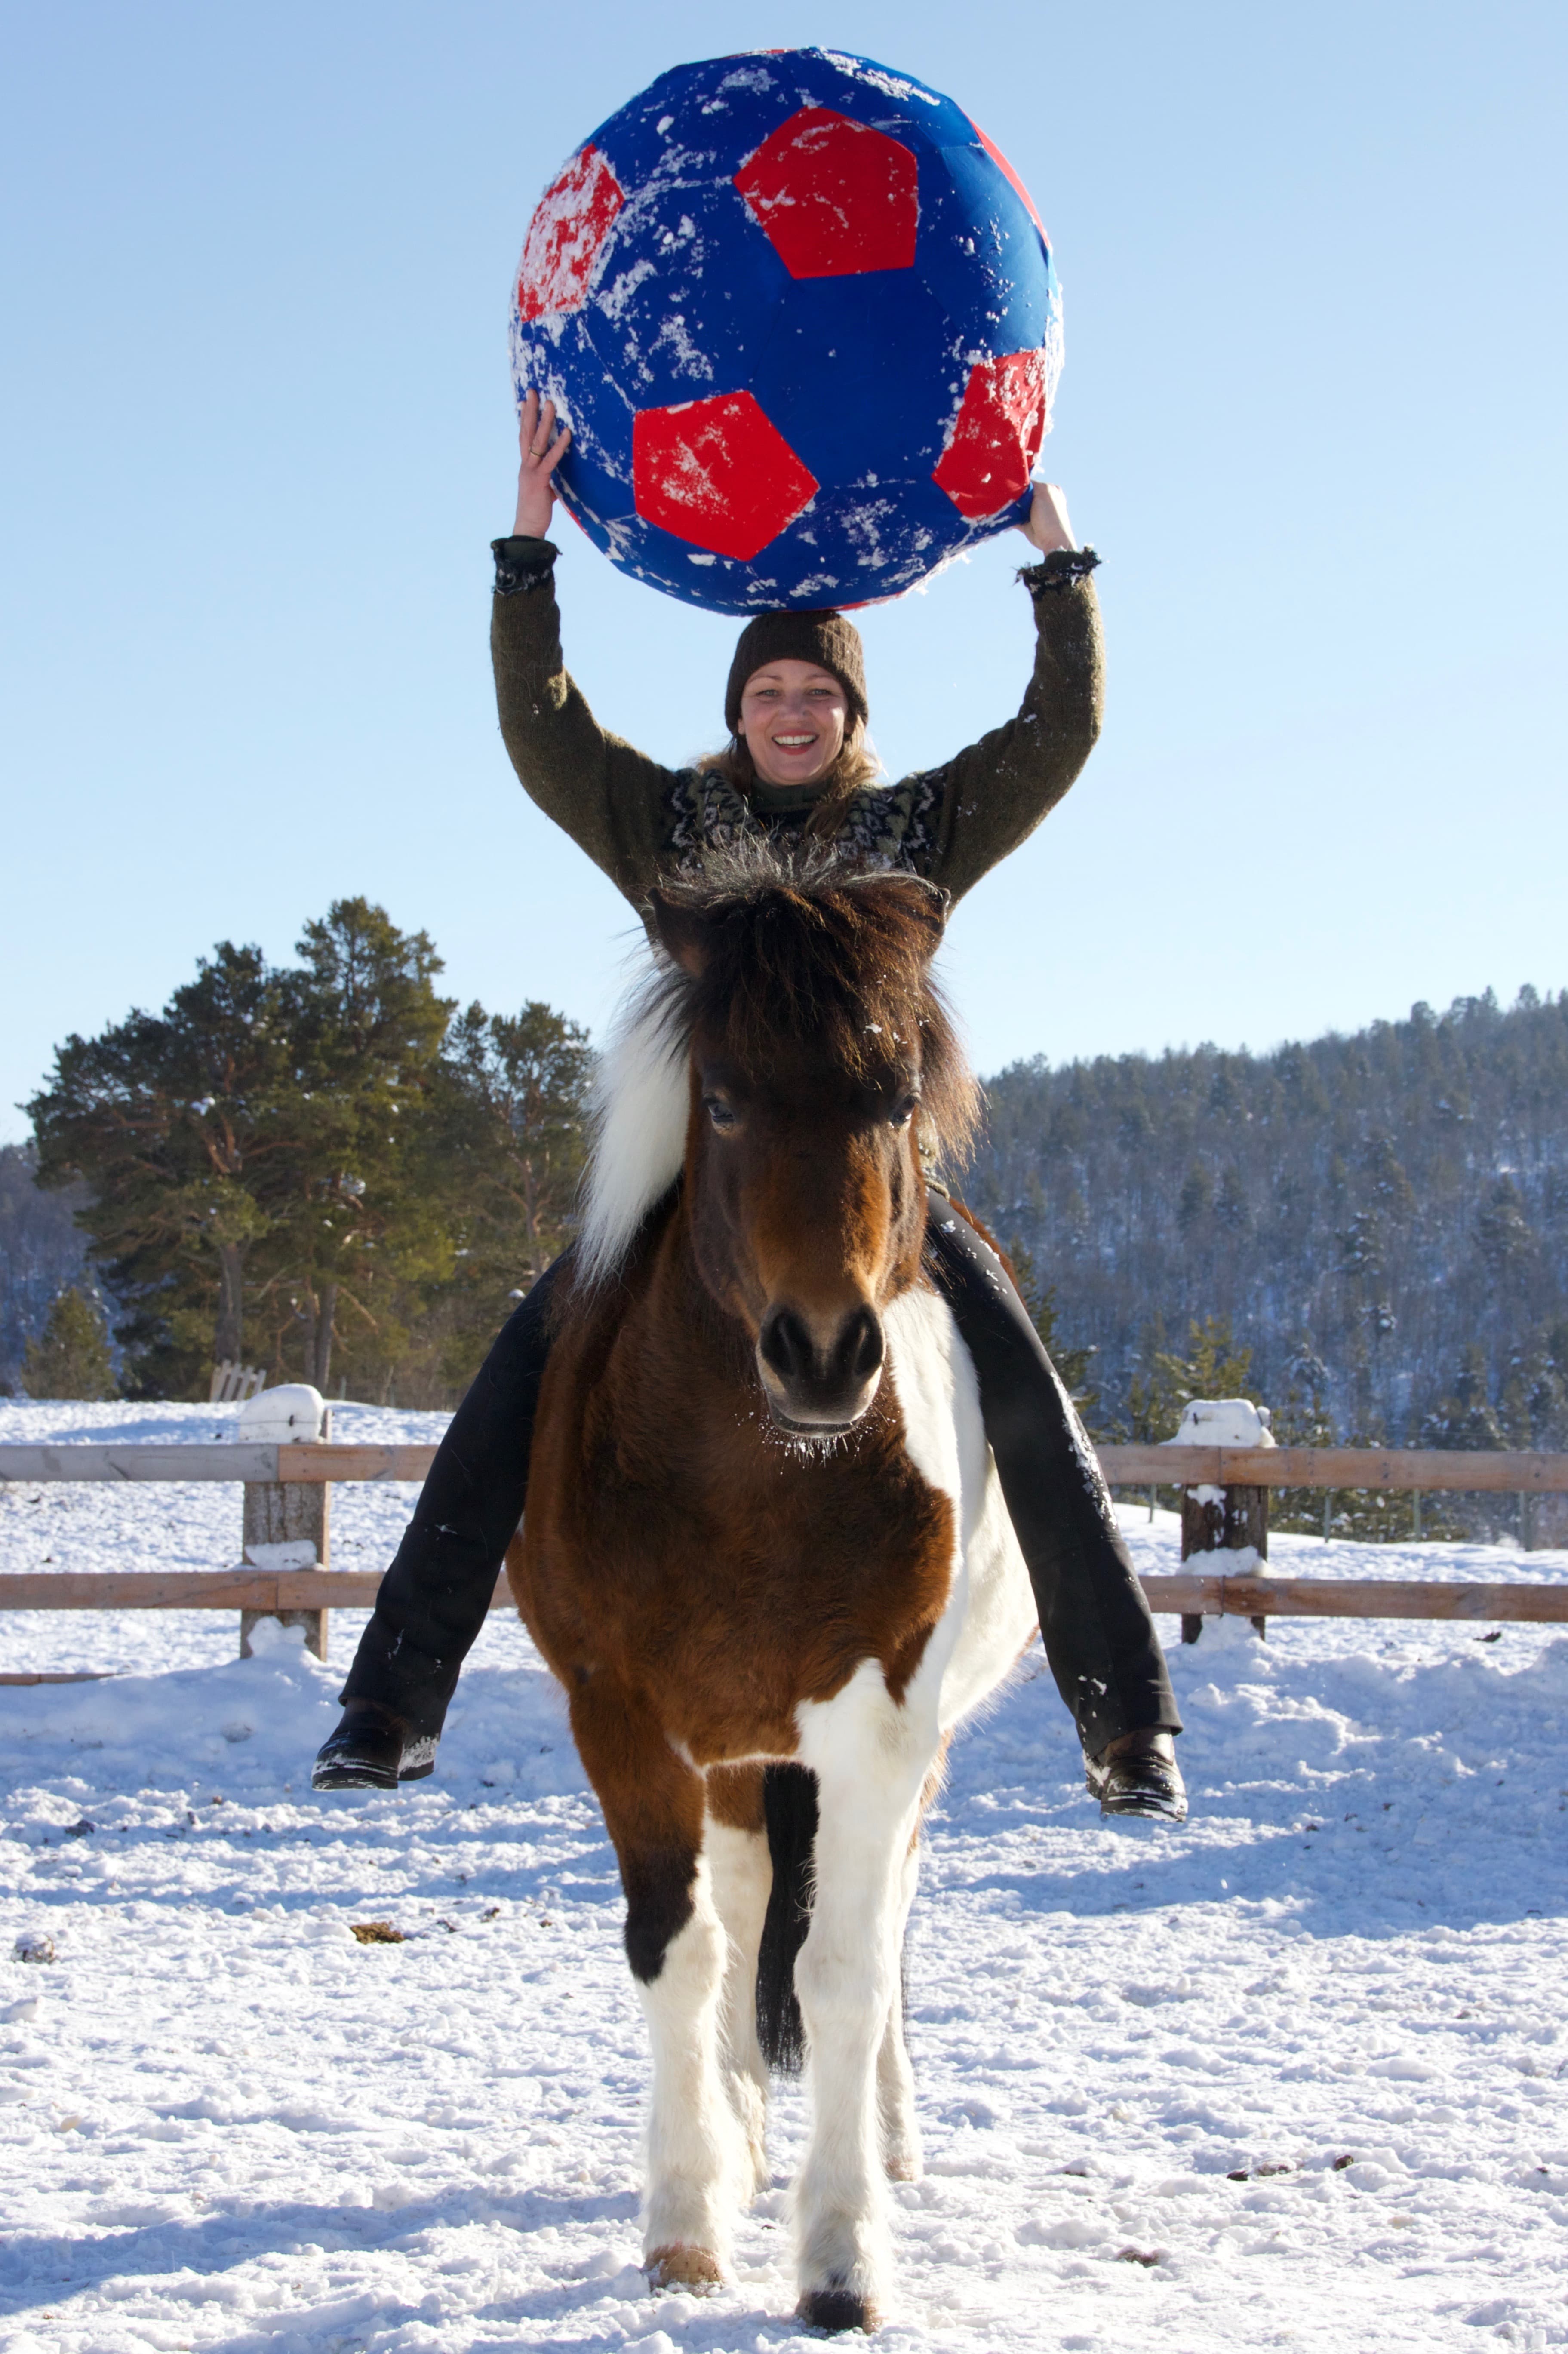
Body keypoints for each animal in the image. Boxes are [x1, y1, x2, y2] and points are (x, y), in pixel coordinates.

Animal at [505, 844, 1039, 2333]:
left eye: (896, 1097)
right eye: (725, 1098)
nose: (821, 1353)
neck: (756, 1479)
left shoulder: (880, 1729)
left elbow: (844, 1970)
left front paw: (842, 2256)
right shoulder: (621, 1716)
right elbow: (680, 1950)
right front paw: (687, 2220)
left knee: (877, 1928)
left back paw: (886, 2138)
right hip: (737, 1747)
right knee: (742, 1907)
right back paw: (741, 2128)